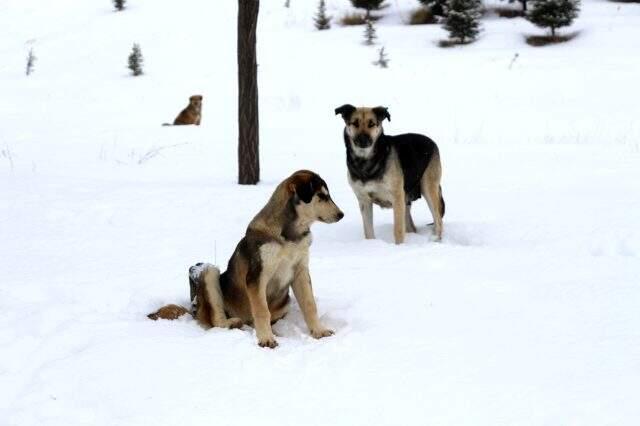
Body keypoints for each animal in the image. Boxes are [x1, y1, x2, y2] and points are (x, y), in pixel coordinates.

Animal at [148, 168, 342, 348]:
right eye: (322, 196)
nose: (341, 214)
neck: (290, 235)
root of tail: (195, 311)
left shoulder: (301, 271)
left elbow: (310, 305)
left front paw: (319, 331)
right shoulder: (257, 276)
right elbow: (262, 310)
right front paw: (266, 339)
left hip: (284, 300)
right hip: (209, 271)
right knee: (216, 320)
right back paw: (234, 323)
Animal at [336, 105, 444, 245]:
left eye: (372, 124)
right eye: (355, 123)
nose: (363, 140)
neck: (365, 161)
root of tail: (432, 142)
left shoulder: (396, 197)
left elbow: (398, 230)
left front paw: (399, 247)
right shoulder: (364, 200)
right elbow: (368, 231)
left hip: (427, 187)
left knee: (438, 220)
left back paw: (435, 239)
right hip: (406, 200)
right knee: (412, 226)